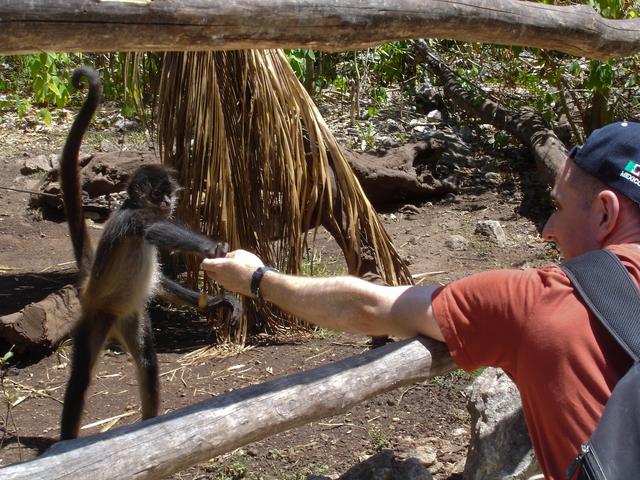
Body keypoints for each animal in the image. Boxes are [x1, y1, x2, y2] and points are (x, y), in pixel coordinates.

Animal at [59, 65, 240, 440]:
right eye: (159, 194)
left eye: (170, 192)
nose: (169, 202)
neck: (132, 205)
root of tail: (91, 288)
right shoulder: (132, 219)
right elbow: (153, 229)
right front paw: (215, 249)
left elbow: (159, 278)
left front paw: (215, 300)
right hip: (96, 314)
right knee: (80, 380)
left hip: (130, 315)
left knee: (147, 363)